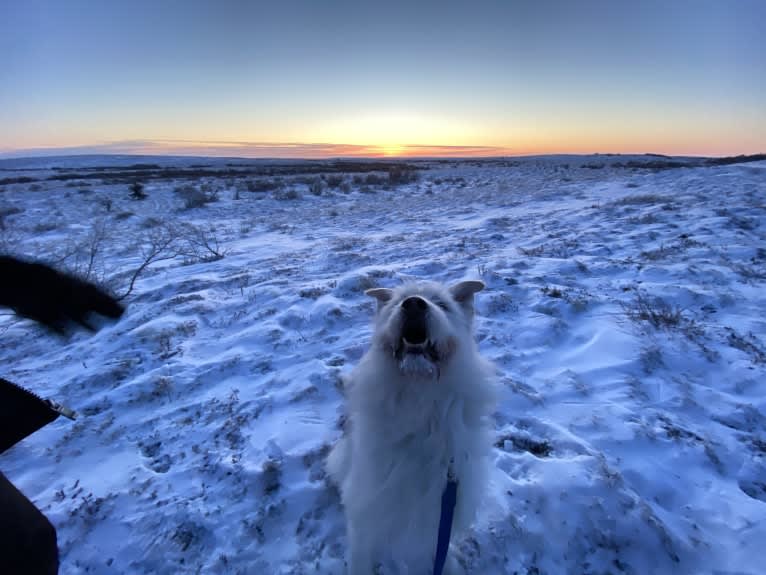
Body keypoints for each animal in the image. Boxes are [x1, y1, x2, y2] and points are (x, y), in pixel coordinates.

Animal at [326, 278, 496, 572]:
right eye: (397, 302)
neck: (419, 394)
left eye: (442, 304)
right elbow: (360, 555)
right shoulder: (366, 504)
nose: (414, 304)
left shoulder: (441, 503)